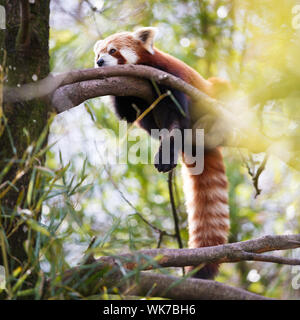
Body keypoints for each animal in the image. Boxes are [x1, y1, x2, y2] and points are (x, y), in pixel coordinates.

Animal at [94, 26, 230, 278]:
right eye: (98, 53)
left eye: (113, 50)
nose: (99, 62)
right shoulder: (134, 97)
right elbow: (127, 114)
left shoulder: (169, 78)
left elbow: (175, 118)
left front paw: (166, 153)